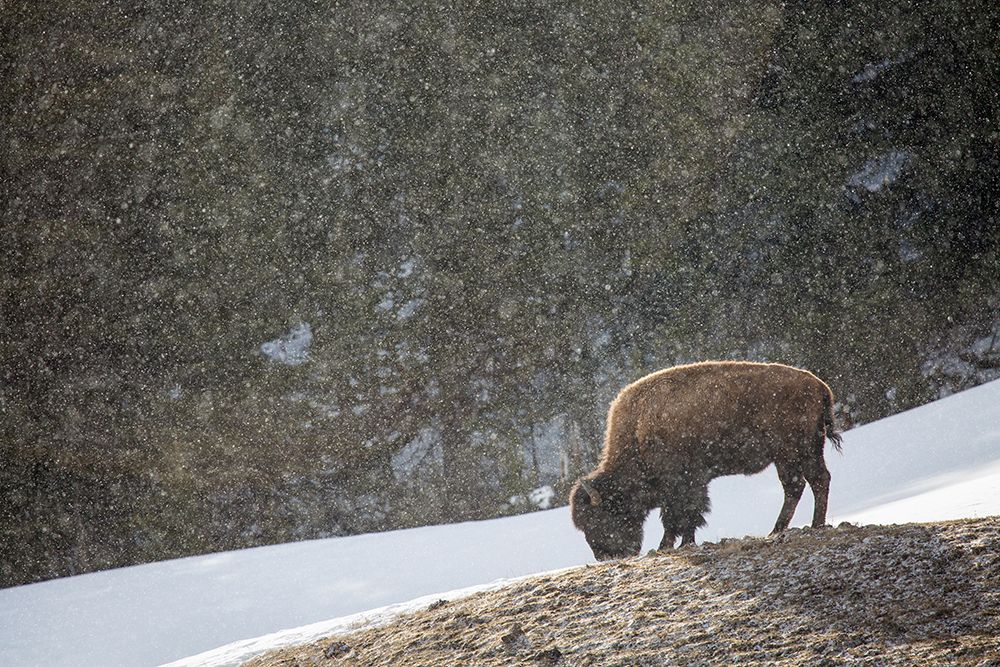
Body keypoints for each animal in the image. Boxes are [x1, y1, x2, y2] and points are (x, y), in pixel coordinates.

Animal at [570, 361, 843, 560]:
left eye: (599, 518)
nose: (603, 556)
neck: (637, 430)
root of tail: (819, 385)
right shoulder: (688, 485)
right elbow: (685, 515)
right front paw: (682, 542)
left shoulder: (681, 484)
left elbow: (679, 516)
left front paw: (667, 545)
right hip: (787, 457)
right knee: (795, 487)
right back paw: (776, 530)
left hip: (801, 451)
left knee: (818, 480)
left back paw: (815, 525)